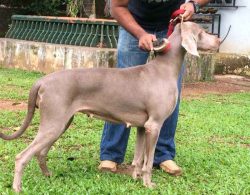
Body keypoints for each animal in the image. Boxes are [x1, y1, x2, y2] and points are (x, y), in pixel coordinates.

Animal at [0, 21, 219, 192]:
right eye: (202, 31)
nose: (218, 40)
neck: (164, 68)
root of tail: (42, 81)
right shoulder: (155, 125)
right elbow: (148, 162)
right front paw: (148, 184)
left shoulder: (143, 127)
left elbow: (138, 158)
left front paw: (136, 179)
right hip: (54, 123)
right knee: (22, 156)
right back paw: (17, 187)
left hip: (61, 123)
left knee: (41, 152)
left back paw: (48, 176)